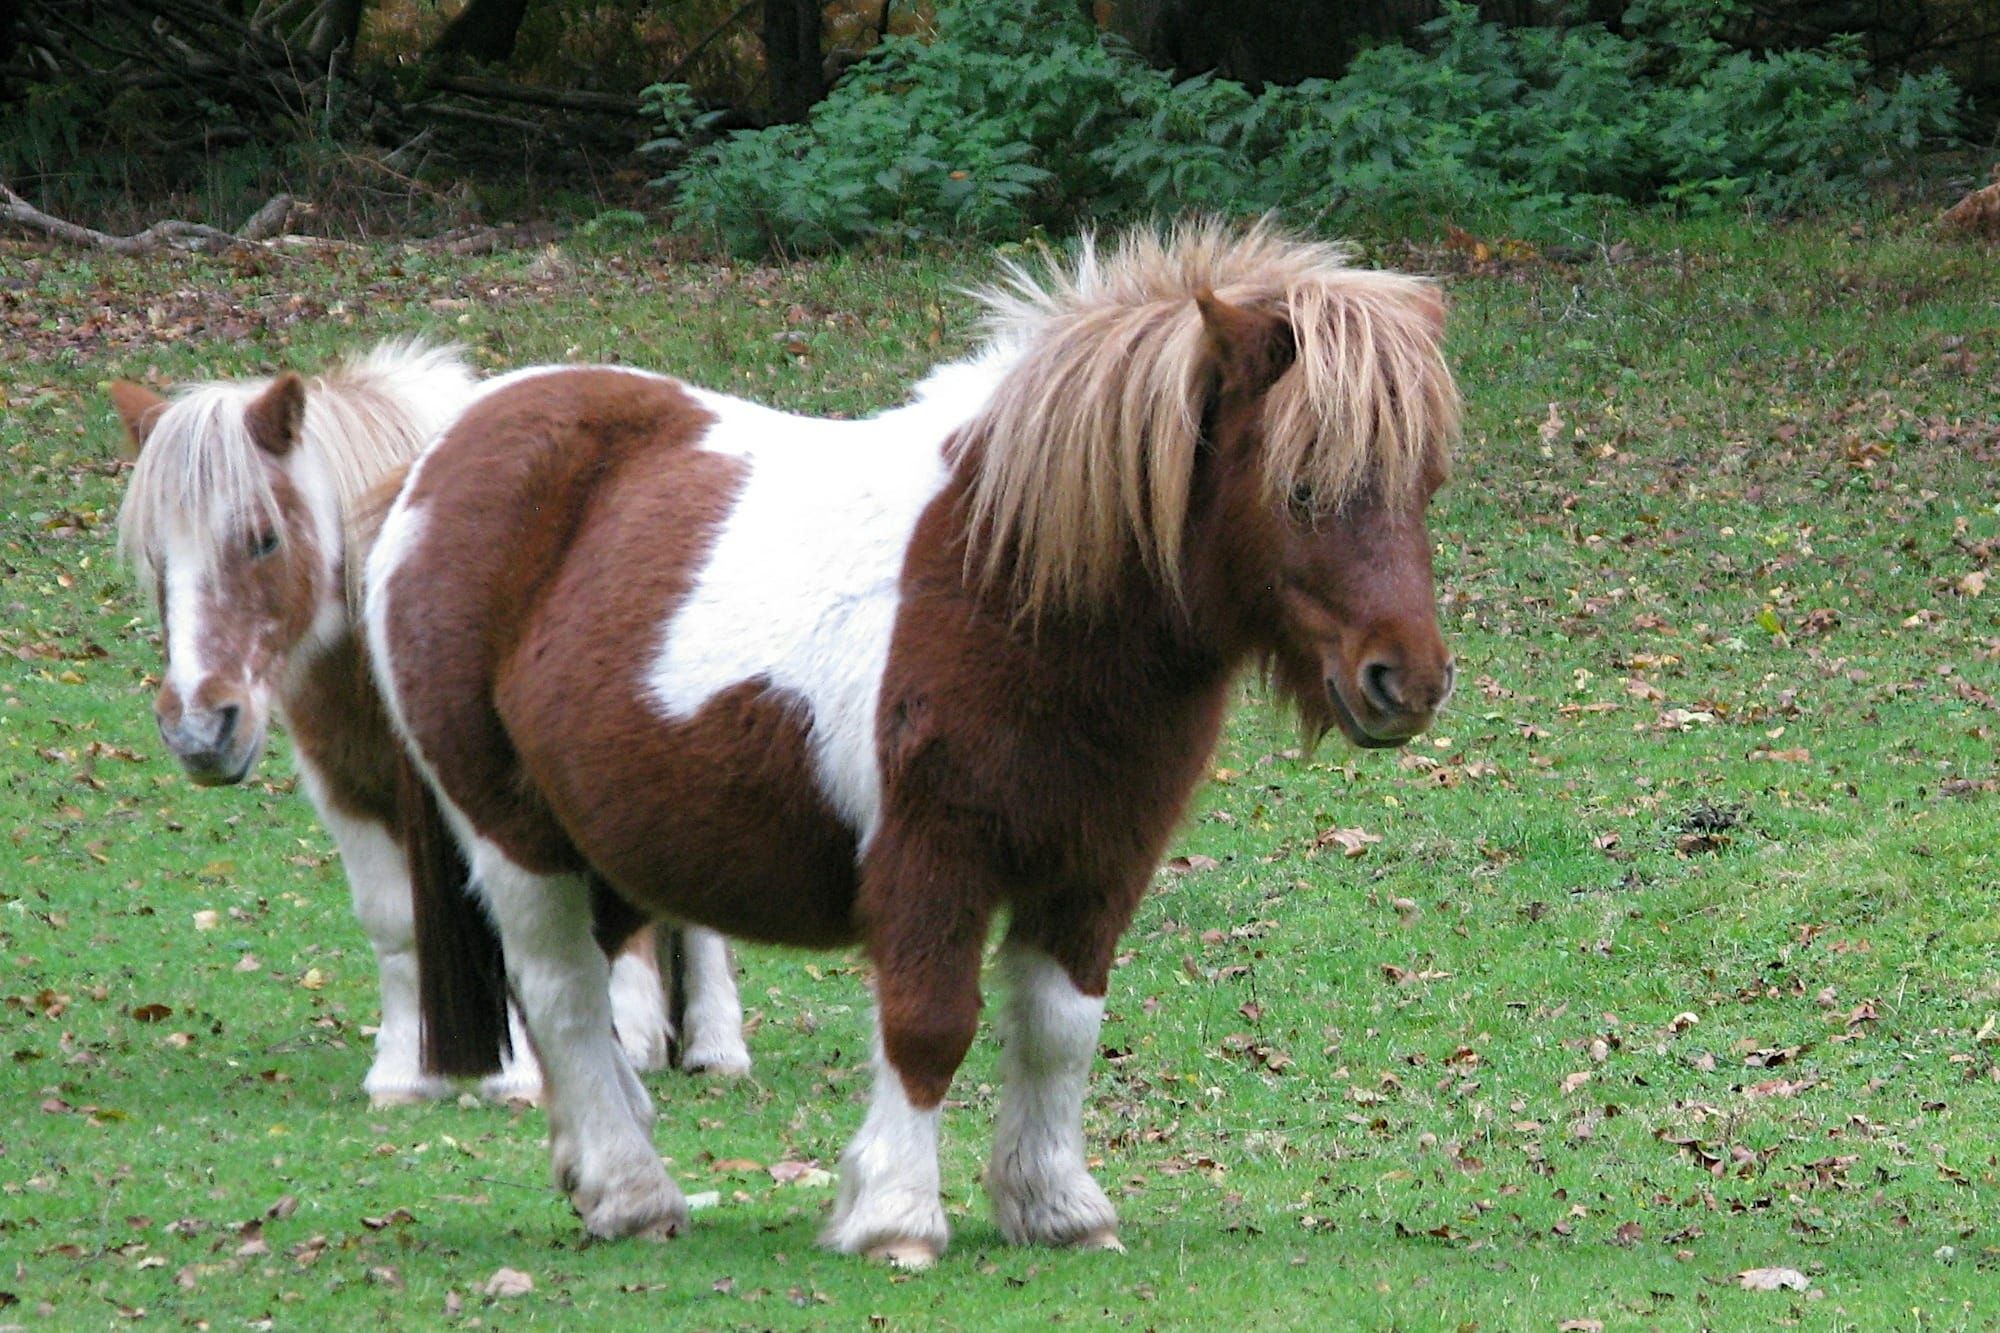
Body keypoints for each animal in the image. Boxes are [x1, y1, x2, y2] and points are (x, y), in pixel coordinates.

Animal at [109, 343, 752, 1105]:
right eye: (155, 556)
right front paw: (405, 1072)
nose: (199, 730)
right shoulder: (346, 783)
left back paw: (710, 1044)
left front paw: (518, 1073)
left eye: (263, 539)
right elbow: (394, 919)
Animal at [369, 220, 1458, 1266]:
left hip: (614, 844)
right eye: (1302, 488)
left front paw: (1057, 1208)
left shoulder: (1097, 866)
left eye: (1424, 486)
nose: (1405, 681)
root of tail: (437, 460)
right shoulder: (931, 859)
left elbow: (1061, 1028)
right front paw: (894, 1216)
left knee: (583, 995)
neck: (1009, 585)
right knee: (559, 990)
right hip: (512, 833)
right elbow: (930, 1026)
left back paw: (600, 1169)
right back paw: (633, 1193)